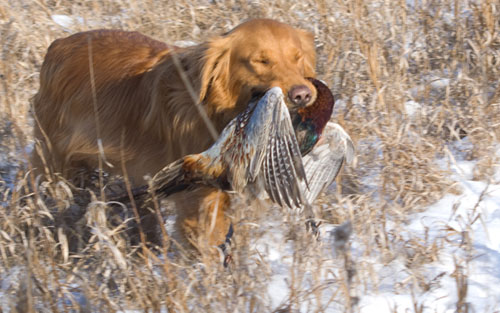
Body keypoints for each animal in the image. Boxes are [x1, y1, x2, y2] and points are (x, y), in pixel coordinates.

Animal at [32, 18, 316, 249]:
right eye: (260, 61)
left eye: (297, 58)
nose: (302, 94)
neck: (216, 109)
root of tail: (58, 45)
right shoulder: (199, 201)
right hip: (54, 162)